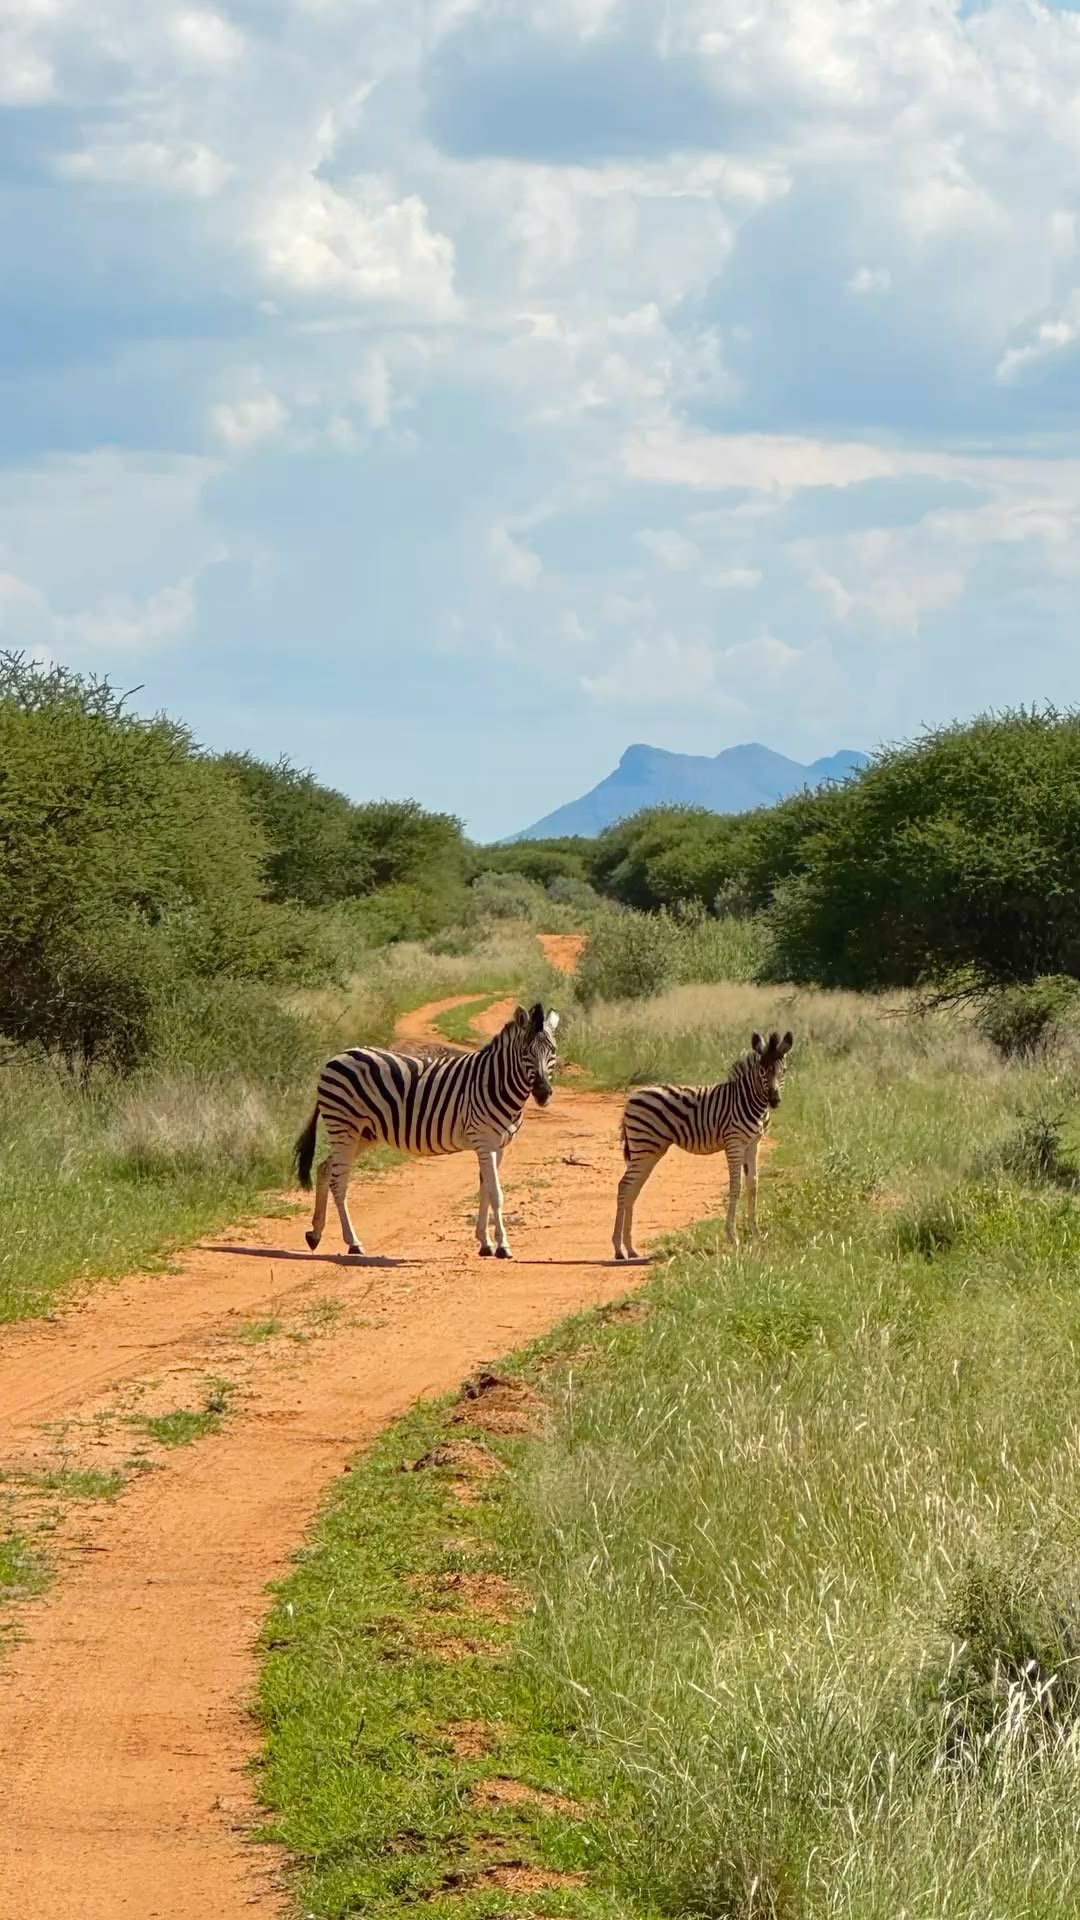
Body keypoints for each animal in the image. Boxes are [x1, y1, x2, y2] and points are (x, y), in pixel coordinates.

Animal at [293, 1003, 560, 1260]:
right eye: (526, 1053)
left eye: (552, 1052)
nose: (543, 1094)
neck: (494, 1082)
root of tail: (337, 1057)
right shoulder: (484, 1141)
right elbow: (496, 1193)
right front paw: (502, 1246)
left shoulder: (499, 1146)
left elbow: (485, 1190)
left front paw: (485, 1243)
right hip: (344, 1127)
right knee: (338, 1180)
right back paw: (353, 1242)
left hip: (362, 1134)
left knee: (324, 1169)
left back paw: (315, 1234)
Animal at [612, 1029, 793, 1260]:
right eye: (762, 1071)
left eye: (783, 1071)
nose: (775, 1101)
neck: (750, 1101)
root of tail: (631, 1097)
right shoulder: (734, 1142)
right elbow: (736, 1186)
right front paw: (733, 1237)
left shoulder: (754, 1144)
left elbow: (753, 1185)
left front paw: (755, 1234)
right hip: (644, 1146)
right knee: (624, 1186)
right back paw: (618, 1249)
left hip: (650, 1150)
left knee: (632, 1188)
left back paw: (630, 1248)